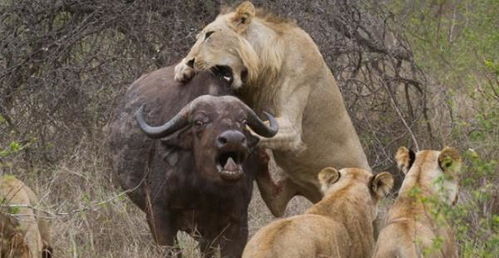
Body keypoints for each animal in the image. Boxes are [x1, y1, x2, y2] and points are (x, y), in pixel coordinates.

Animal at [108, 66, 278, 258]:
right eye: (199, 122)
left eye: (242, 121)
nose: (233, 139)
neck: (204, 189)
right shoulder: (158, 216)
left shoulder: (237, 222)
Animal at [174, 1, 370, 217]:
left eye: (210, 35)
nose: (191, 61)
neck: (262, 66)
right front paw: (182, 69)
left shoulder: (292, 128)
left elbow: (258, 127)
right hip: (289, 185)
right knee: (276, 203)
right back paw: (262, 160)